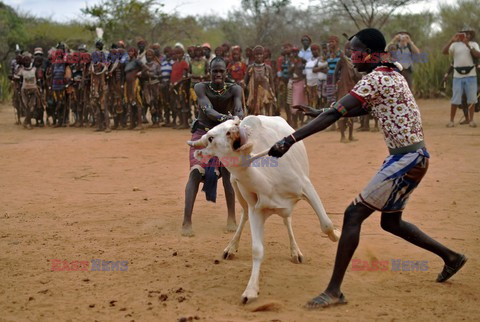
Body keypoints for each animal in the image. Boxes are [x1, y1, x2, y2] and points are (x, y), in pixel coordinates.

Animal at [186, 115, 340, 304]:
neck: (268, 182)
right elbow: (257, 250)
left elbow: (326, 224)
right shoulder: (256, 211)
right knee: (244, 215)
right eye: (210, 138)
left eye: (232, 125)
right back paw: (231, 248)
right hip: (236, 188)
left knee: (287, 220)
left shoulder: (306, 186)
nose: (234, 129)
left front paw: (337, 233)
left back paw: (295, 252)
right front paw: (250, 290)